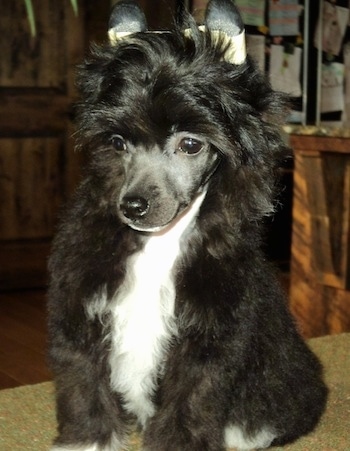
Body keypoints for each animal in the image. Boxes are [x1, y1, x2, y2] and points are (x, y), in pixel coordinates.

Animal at [48, 1, 328, 450]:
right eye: (117, 143)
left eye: (191, 144)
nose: (133, 206)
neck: (158, 245)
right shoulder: (81, 319)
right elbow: (84, 393)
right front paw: (86, 441)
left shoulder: (206, 343)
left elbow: (189, 407)